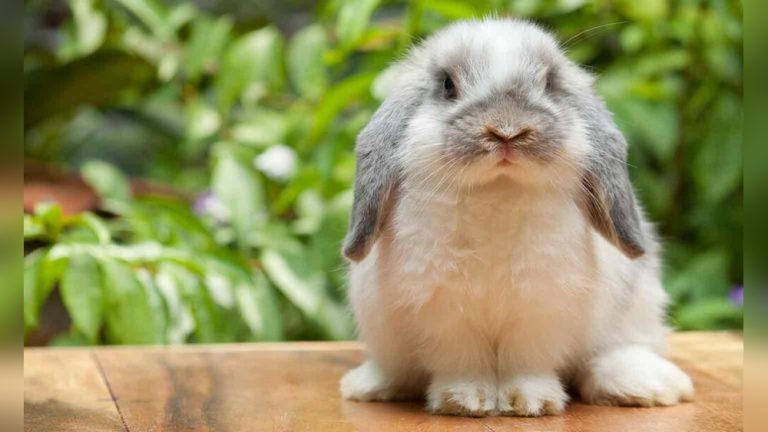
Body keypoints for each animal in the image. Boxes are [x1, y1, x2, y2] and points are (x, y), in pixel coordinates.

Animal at [339, 18, 694, 417]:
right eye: (447, 84)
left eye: (550, 83)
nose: (507, 130)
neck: (498, 192)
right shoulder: (445, 313)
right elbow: (462, 361)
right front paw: (465, 401)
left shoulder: (540, 309)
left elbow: (526, 362)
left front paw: (530, 402)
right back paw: (370, 385)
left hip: (636, 308)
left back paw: (648, 386)